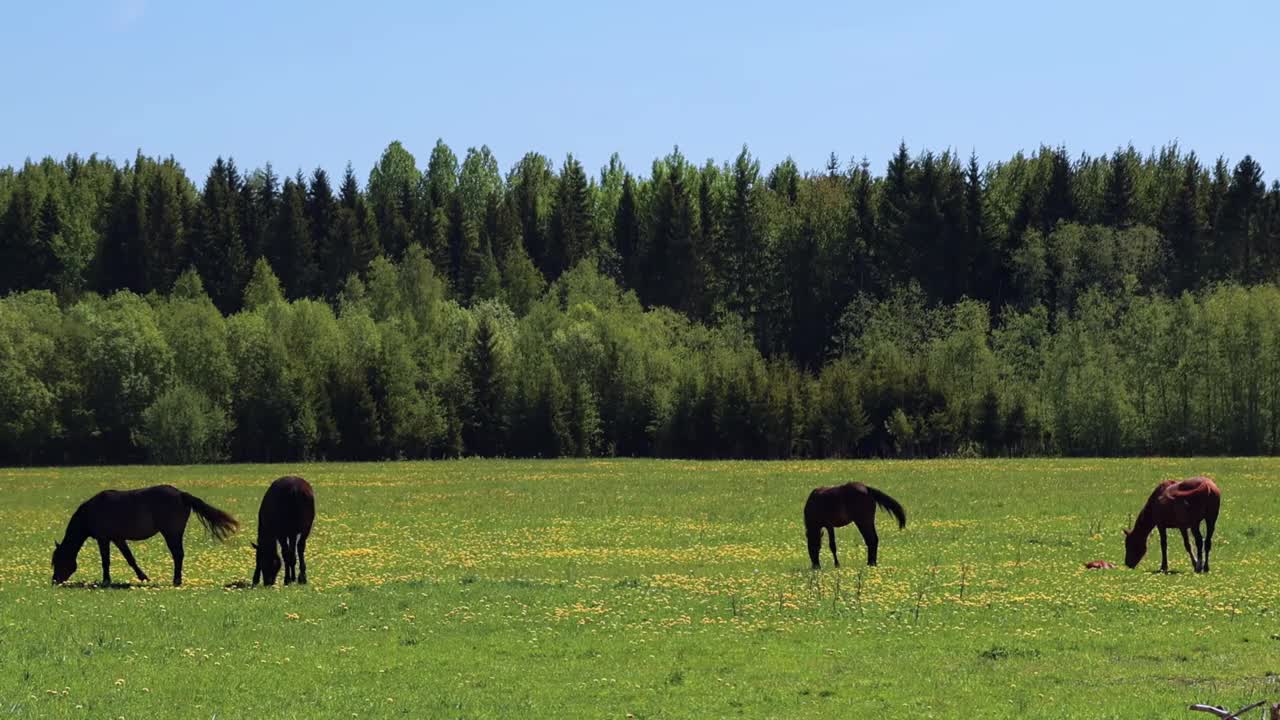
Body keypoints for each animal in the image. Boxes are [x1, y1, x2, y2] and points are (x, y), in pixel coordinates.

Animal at [51, 484, 240, 586]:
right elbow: (130, 559)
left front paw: (106, 581)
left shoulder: (103, 539)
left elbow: (106, 561)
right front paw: (144, 577)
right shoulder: (118, 539)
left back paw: (176, 580)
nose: (54, 581)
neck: (91, 513)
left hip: (171, 533)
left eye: (59, 560)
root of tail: (181, 494)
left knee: (178, 554)